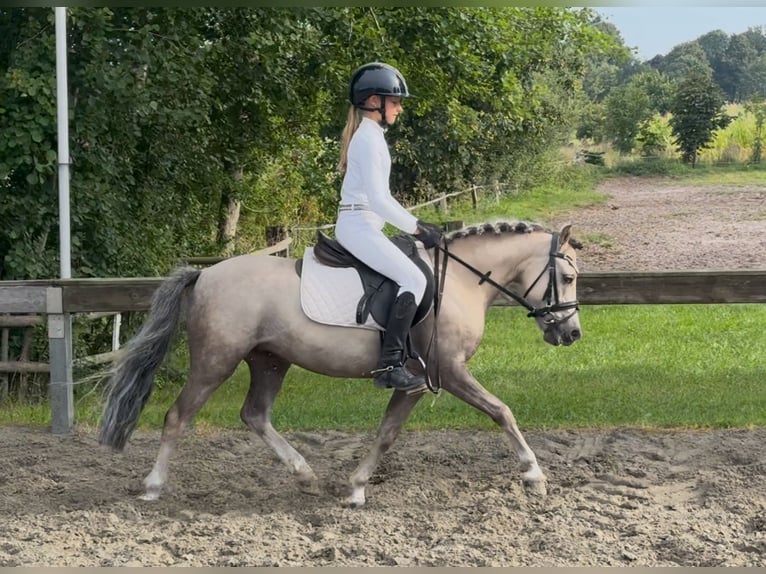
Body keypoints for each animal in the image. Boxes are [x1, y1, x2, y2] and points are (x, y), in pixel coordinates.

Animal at [98, 220, 582, 507]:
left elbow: (387, 434)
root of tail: (206, 273)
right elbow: (503, 412)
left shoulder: (416, 383)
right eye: (569, 277)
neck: (459, 280)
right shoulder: (451, 372)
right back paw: (153, 486)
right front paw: (534, 475)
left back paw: (305, 475)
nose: (571, 333)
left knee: (255, 415)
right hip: (216, 361)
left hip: (270, 361)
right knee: (178, 416)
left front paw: (355, 488)